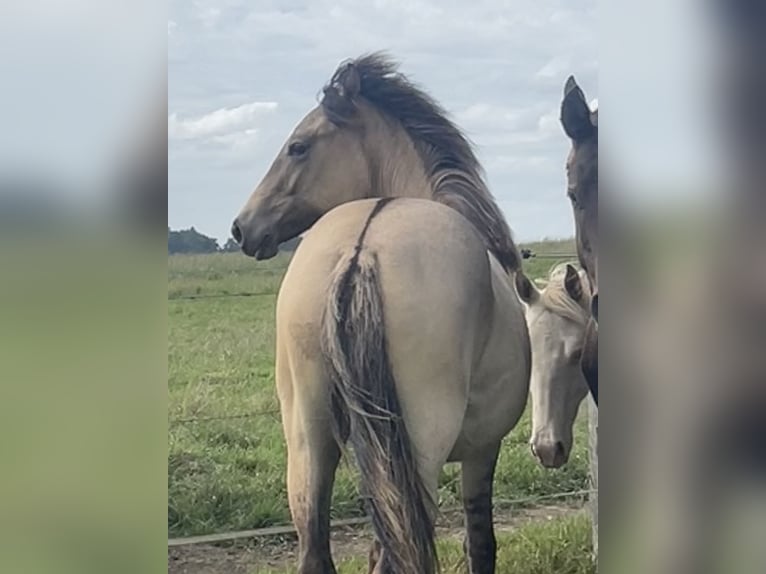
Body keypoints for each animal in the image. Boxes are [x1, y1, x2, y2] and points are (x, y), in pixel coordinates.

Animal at [232, 53, 535, 574]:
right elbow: (481, 544)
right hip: (418, 455)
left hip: (310, 445)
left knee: (317, 550)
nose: (241, 227)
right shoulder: (482, 452)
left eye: (298, 147)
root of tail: (362, 246)